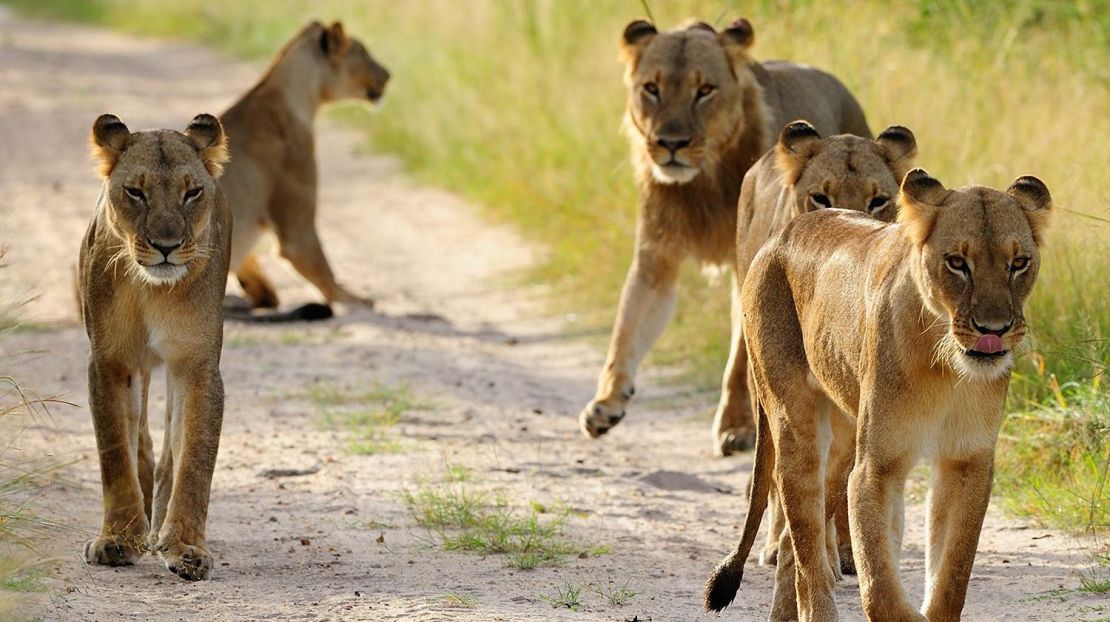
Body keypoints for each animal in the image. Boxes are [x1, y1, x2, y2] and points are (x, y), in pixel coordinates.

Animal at [80, 112, 234, 582]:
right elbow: (115, 451)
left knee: (168, 453)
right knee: (142, 443)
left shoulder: (197, 364)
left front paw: (185, 546)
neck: (153, 289)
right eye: (135, 192)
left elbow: (195, 457)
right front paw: (118, 538)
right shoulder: (110, 361)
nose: (166, 247)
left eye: (192, 192)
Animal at [705, 168, 1052, 622]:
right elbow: (880, 587)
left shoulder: (966, 462)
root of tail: (780, 234)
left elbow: (951, 578)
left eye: (1019, 263)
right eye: (957, 263)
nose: (993, 330)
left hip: (843, 438)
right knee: (806, 548)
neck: (946, 365)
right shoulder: (876, 469)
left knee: (792, 547)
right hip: (794, 422)